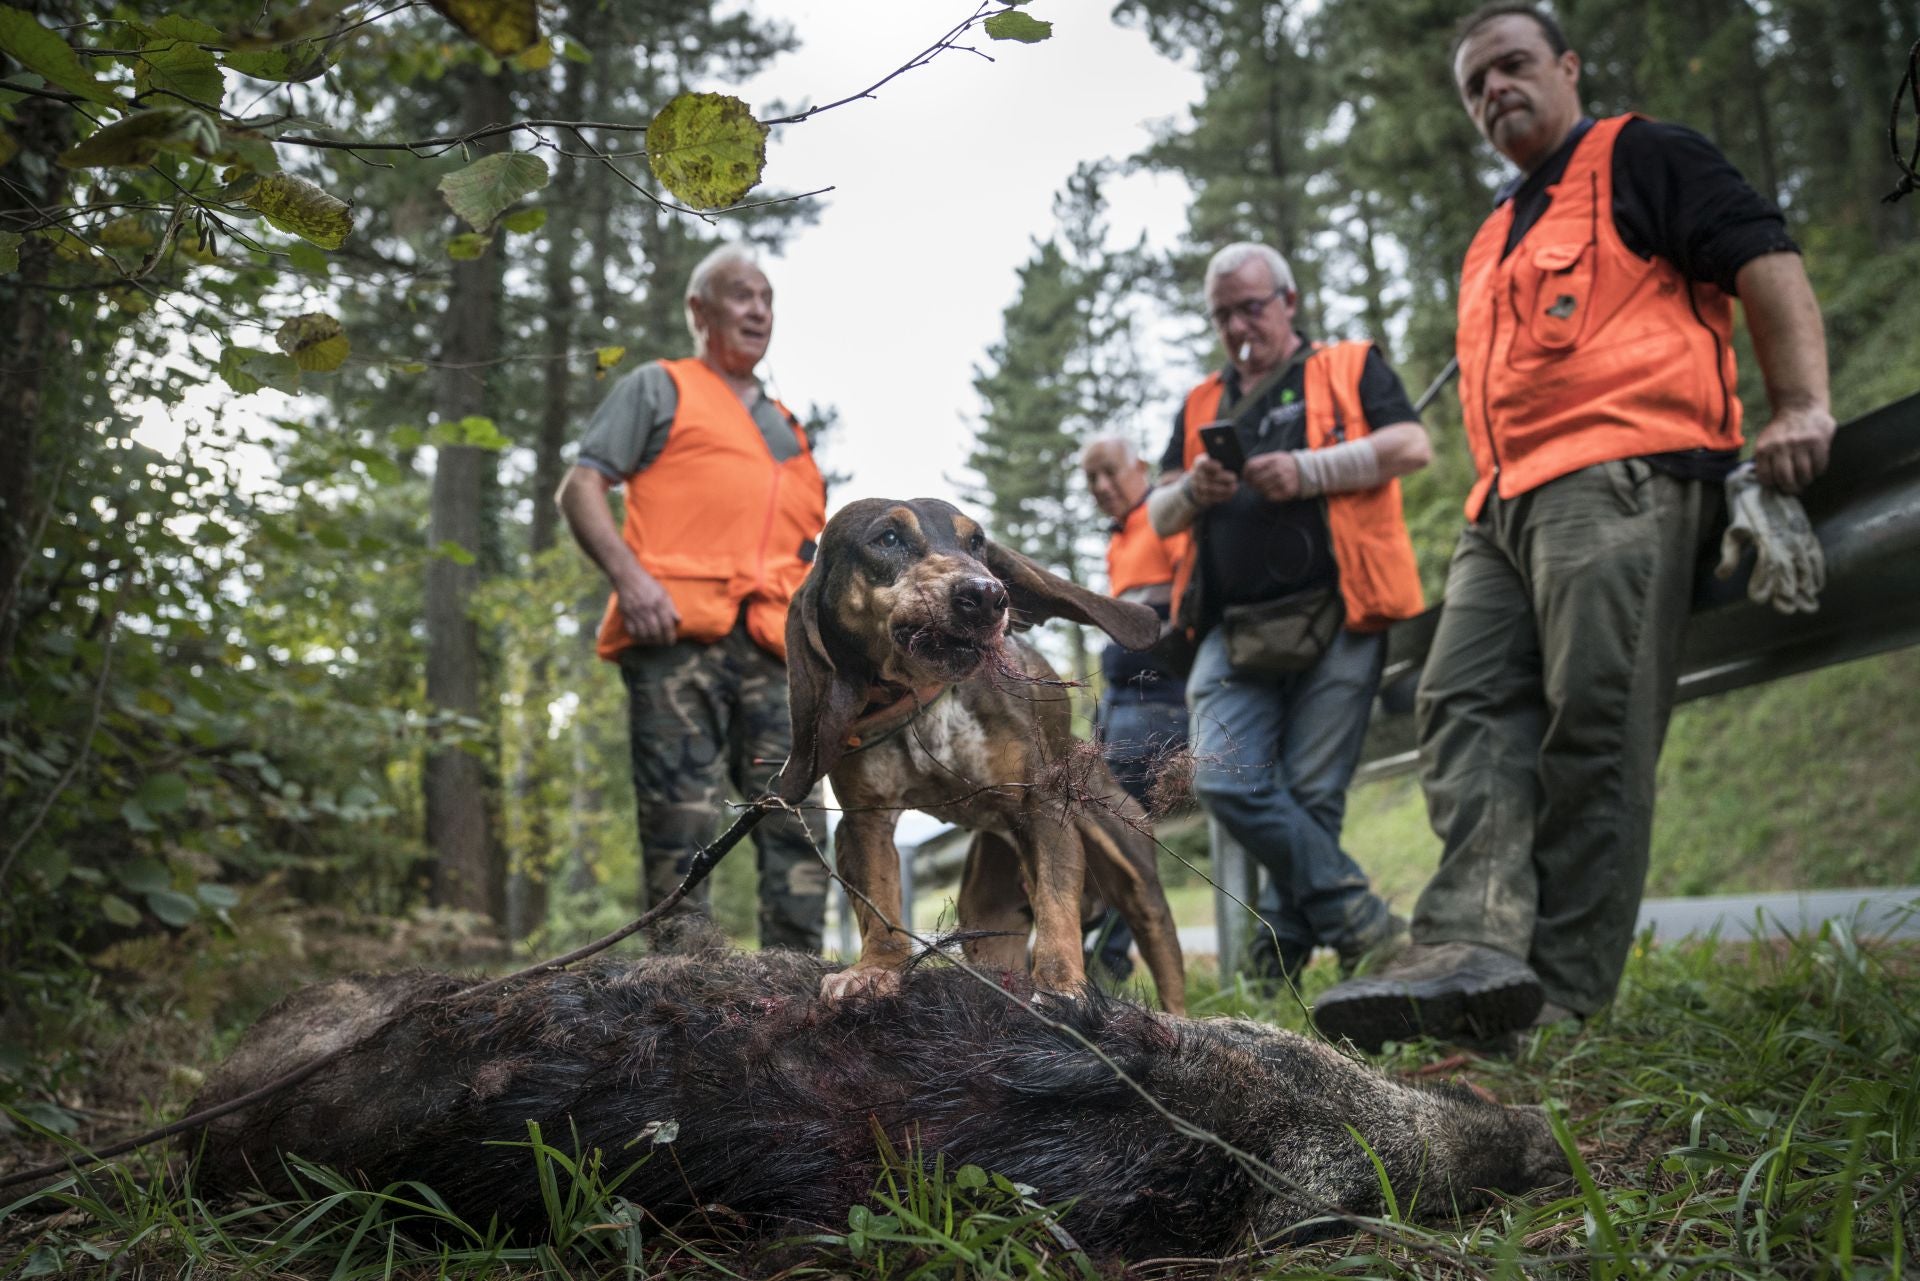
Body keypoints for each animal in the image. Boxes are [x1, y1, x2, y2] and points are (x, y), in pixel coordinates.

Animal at [771, 499, 1190, 1014]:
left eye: (976, 543)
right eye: (887, 539)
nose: (987, 595)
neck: (928, 698)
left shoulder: (1042, 808)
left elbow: (1056, 910)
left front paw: (1062, 987)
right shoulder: (864, 821)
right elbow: (881, 907)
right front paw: (875, 971)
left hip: (1134, 875)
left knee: (1162, 958)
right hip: (987, 911)